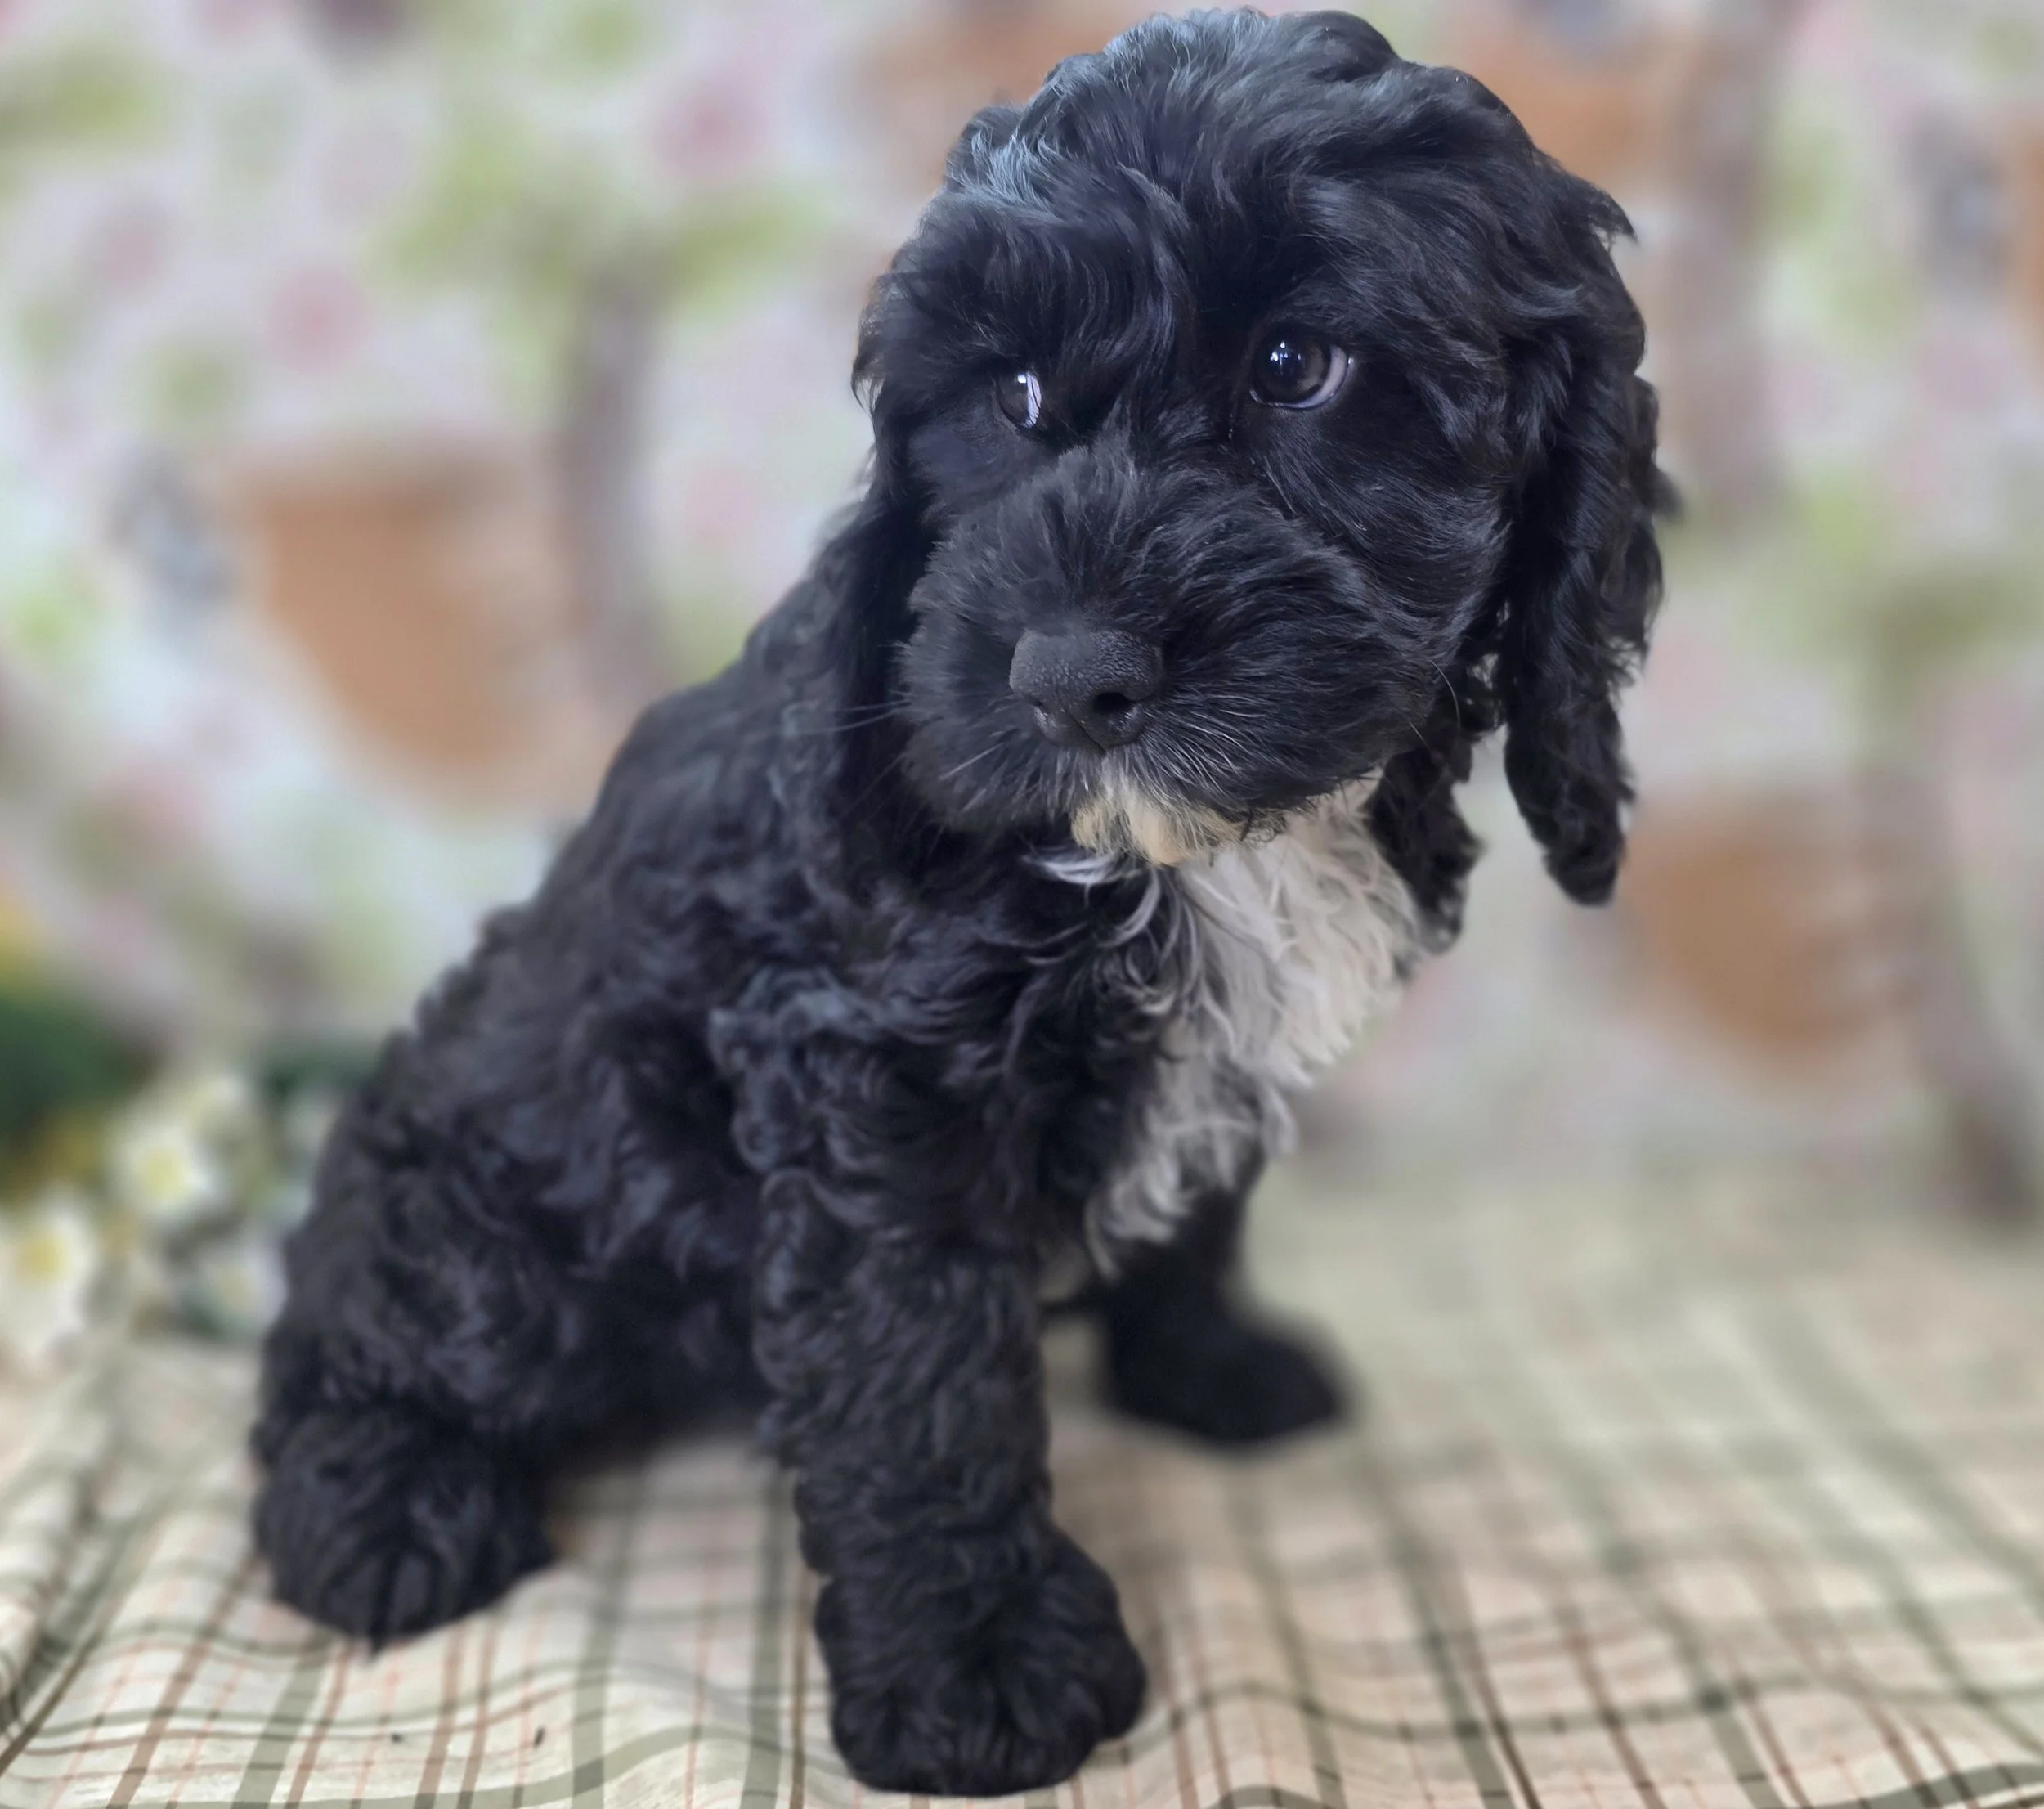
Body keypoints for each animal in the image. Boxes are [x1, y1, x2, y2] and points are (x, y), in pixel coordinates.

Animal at [252, 9, 1667, 1793]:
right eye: (1013, 398)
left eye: (1297, 367)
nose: (1067, 672)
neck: (1180, 855)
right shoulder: (877, 1070)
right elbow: (919, 1372)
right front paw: (980, 1665)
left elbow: (1198, 1204)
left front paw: (1208, 1365)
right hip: (497, 1213)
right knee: (359, 1336)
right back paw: (383, 1507)